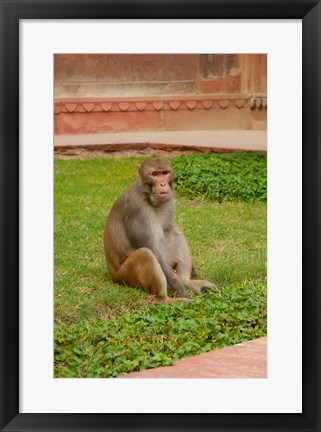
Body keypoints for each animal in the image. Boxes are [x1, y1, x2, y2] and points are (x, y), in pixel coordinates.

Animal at [103, 159, 218, 304]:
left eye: (164, 173)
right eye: (154, 174)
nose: (163, 183)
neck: (148, 196)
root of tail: (112, 274)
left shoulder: (169, 200)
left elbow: (169, 228)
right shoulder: (137, 208)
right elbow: (154, 251)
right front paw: (182, 291)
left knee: (175, 232)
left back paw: (187, 281)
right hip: (125, 276)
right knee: (145, 254)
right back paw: (166, 299)